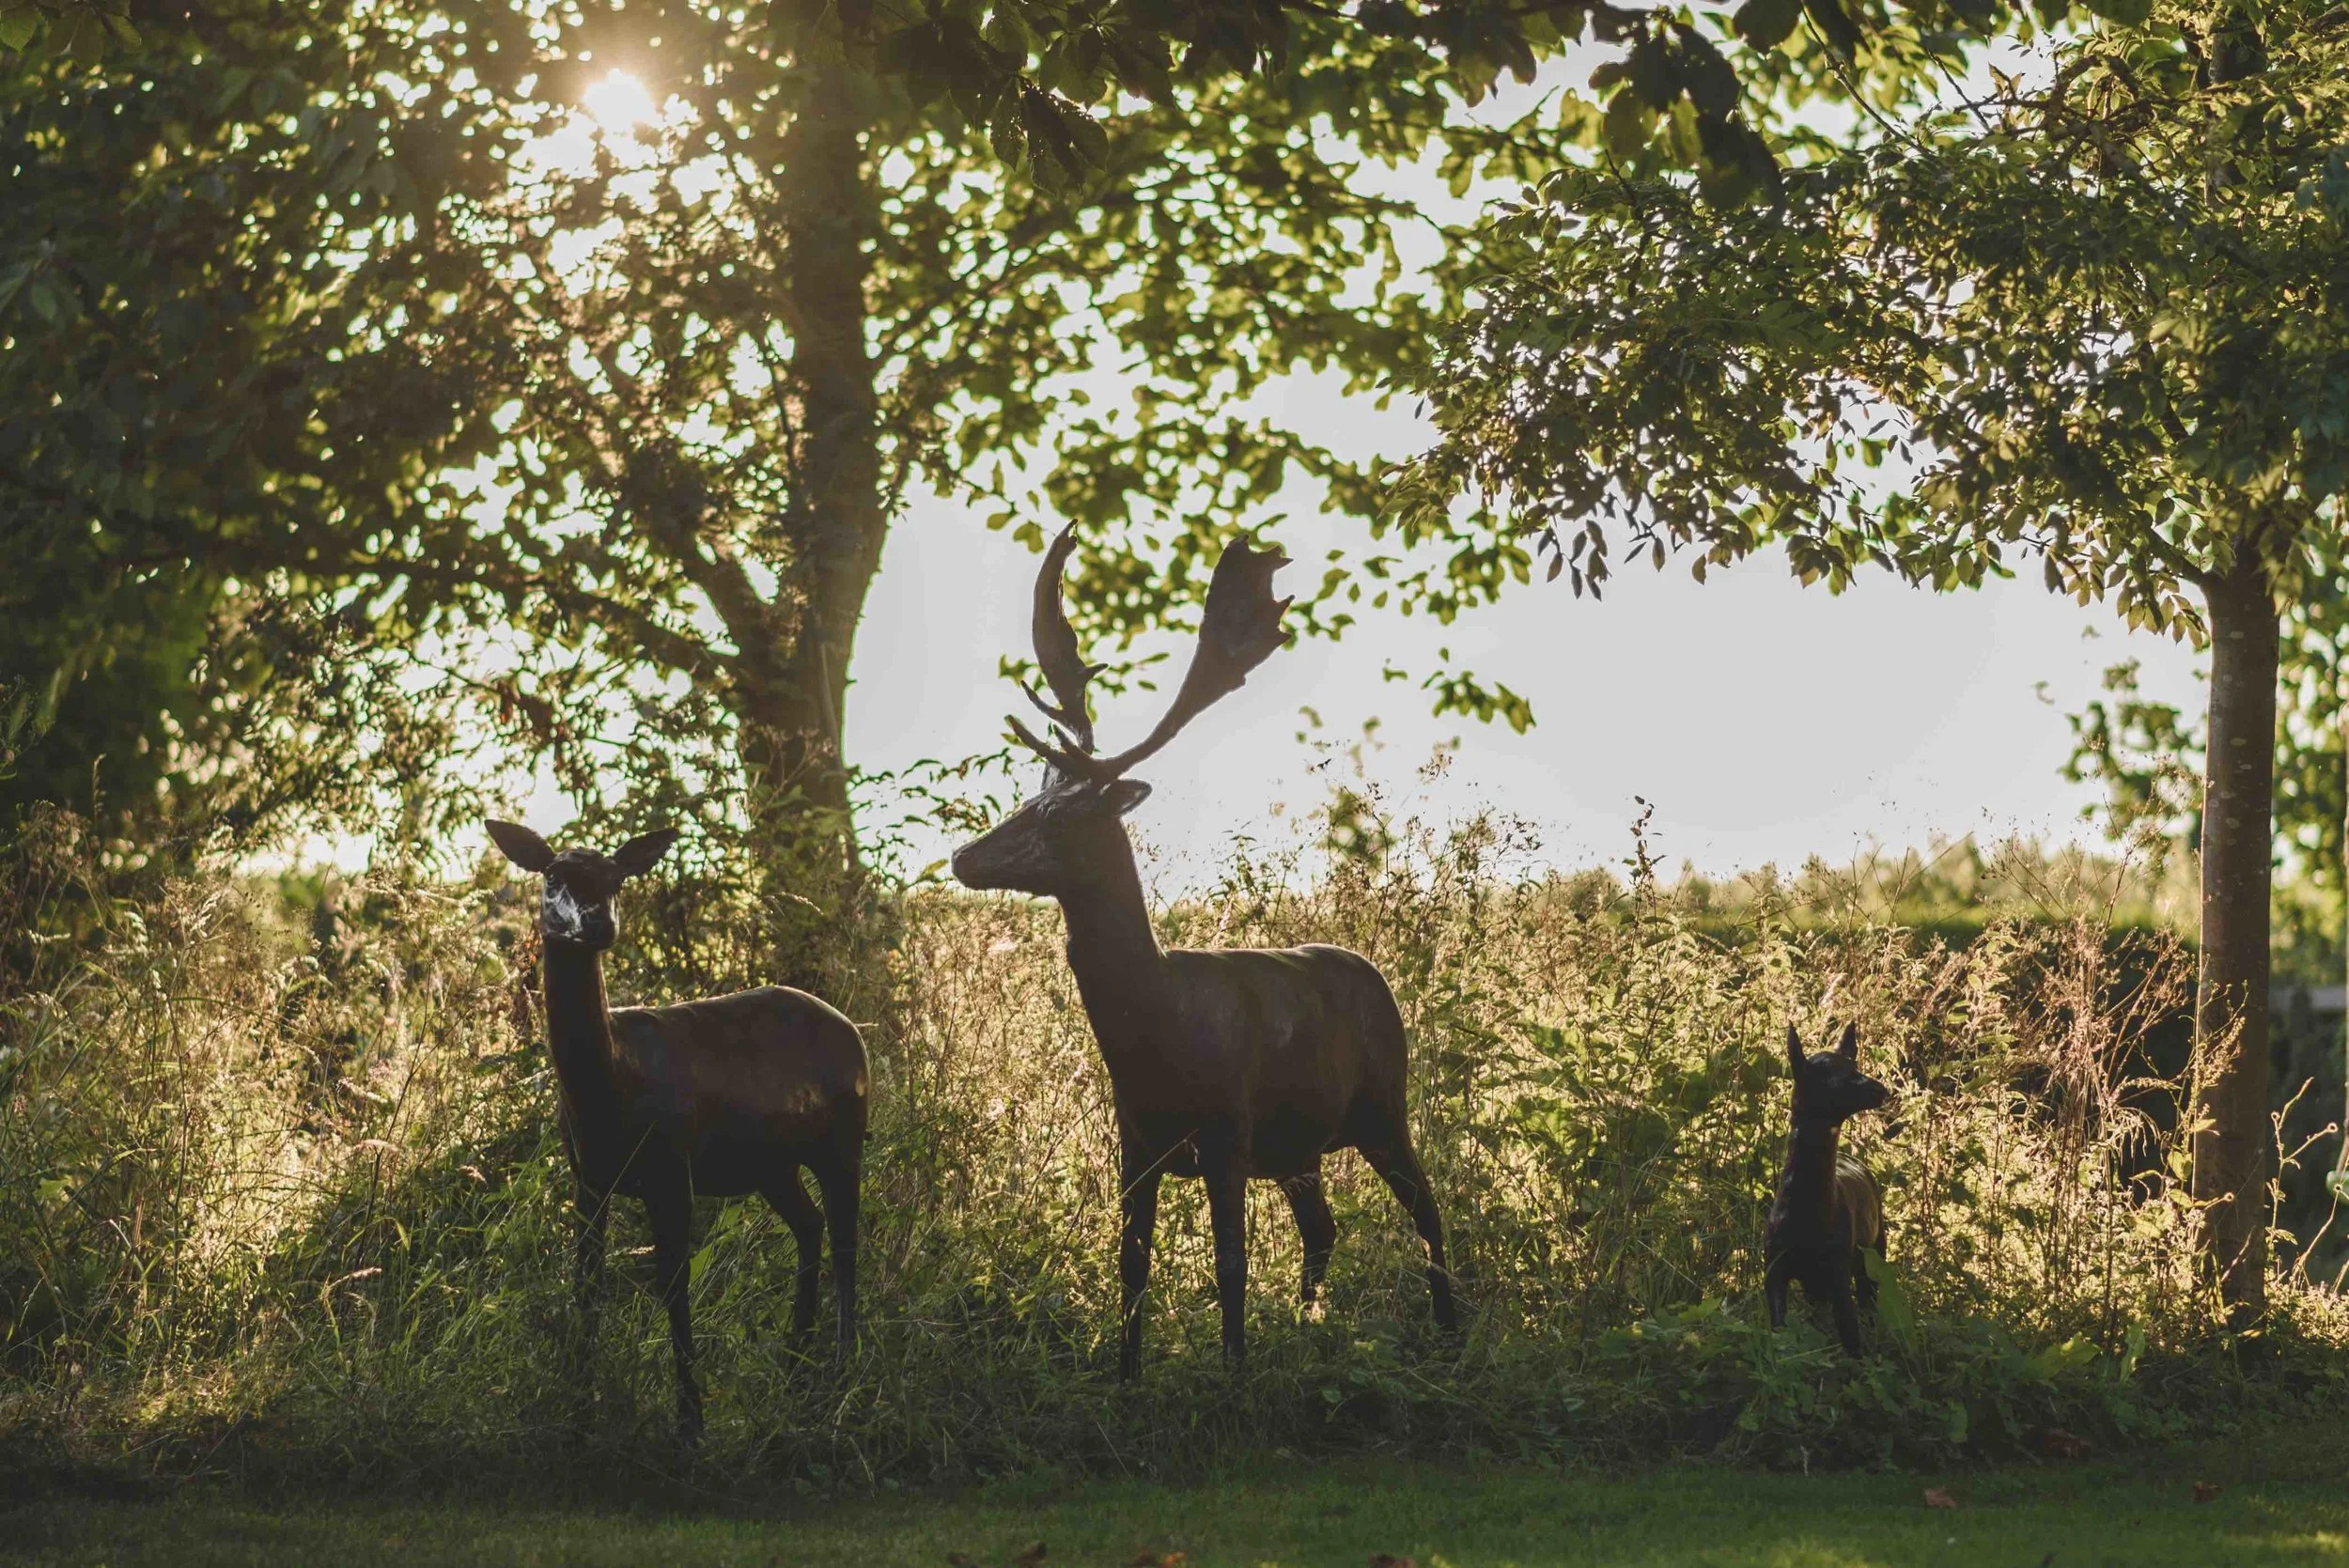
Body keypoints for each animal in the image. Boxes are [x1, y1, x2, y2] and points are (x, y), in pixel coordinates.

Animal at [484, 819, 868, 1443]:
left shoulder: (671, 1170)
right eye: (553, 875)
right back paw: (795, 1366)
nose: (597, 921)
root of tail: (852, 1030)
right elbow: (586, 1285)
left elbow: (673, 1281)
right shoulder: (587, 1179)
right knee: (810, 1226)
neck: (610, 1086)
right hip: (772, 1162)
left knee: (846, 1242)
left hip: (845, 1135)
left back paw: (841, 1373)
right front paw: (579, 1409)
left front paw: (690, 1421)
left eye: (617, 878)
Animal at [949, 526, 1459, 1378]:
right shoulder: (1136, 1141)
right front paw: (1125, 1376)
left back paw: (1455, 1329)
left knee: (1430, 1212)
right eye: (1027, 799)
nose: (962, 856)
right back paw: (1309, 1327)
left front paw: (1232, 1374)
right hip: (1299, 1142)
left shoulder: (1227, 1128)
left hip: (1384, 1102)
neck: (1158, 1038)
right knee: (1323, 1226)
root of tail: (1372, 974)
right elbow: (1132, 1262)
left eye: (1060, 816)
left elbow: (1230, 1263)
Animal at [1764, 1021, 1889, 1357]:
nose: (1881, 1090)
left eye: (1853, 1065)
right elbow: (1780, 1334)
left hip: (1874, 1254)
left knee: (1871, 1307)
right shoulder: (1774, 1271)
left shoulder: (1838, 1275)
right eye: (1832, 1077)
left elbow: (1853, 1344)